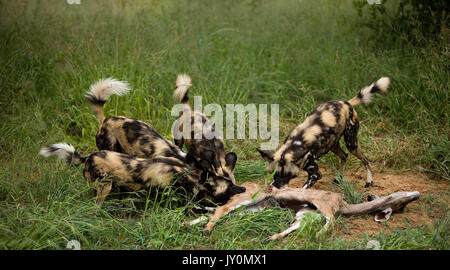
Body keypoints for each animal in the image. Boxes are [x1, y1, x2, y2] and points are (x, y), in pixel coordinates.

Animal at [256, 77, 390, 189]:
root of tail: (346, 103)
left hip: (351, 143)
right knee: (344, 156)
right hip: (332, 145)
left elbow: (304, 189)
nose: (278, 187)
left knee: (365, 159)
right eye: (274, 174)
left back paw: (369, 181)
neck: (295, 145)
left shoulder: (315, 175)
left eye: (288, 175)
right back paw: (339, 178)